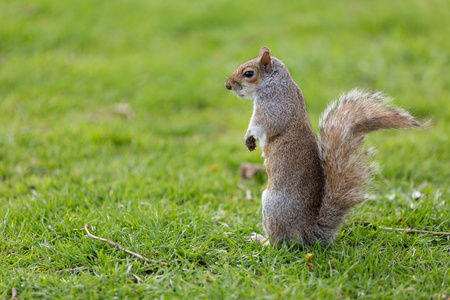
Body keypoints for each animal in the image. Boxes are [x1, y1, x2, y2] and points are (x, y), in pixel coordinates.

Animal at [227, 45, 420, 245]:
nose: (228, 85)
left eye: (248, 73)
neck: (274, 81)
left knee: (279, 242)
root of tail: (308, 233)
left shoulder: (273, 106)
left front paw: (249, 137)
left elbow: (261, 125)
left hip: (272, 205)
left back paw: (261, 240)